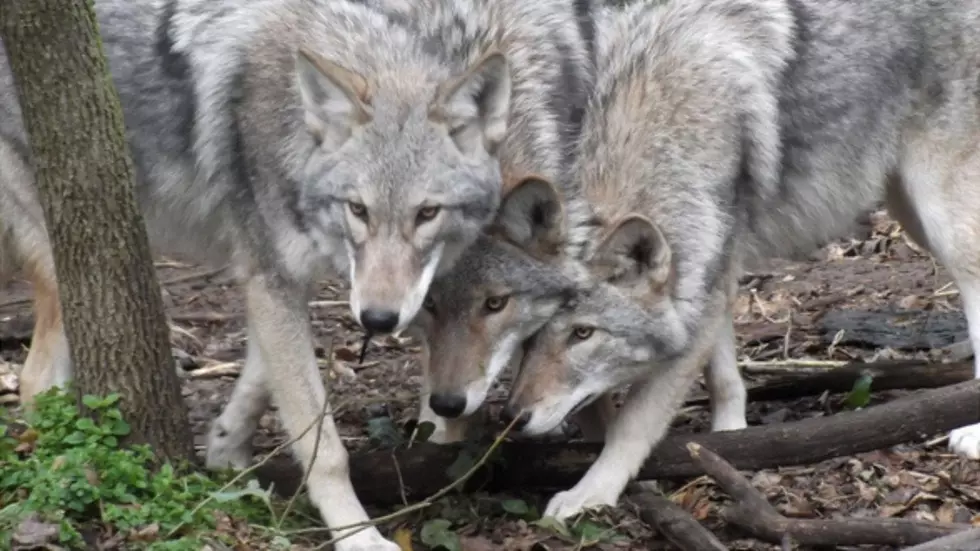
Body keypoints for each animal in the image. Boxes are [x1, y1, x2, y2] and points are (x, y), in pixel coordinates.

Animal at [0, 0, 596, 548]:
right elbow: (323, 444)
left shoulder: (282, 279)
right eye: (359, 209)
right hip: (67, 268)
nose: (379, 320)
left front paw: (226, 452)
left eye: (427, 213)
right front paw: (359, 537)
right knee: (34, 382)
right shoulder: (273, 277)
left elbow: (262, 378)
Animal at [502, 0, 980, 524]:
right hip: (910, 212)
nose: (514, 417)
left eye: (583, 334)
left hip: (943, 220)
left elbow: (636, 422)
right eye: (530, 337)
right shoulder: (716, 271)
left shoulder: (704, 287)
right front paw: (730, 437)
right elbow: (724, 375)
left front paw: (591, 491)